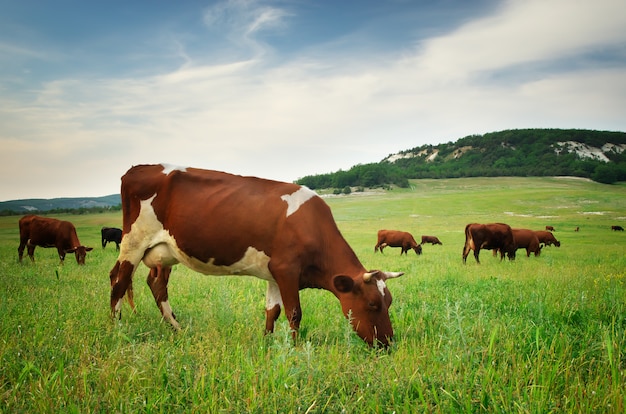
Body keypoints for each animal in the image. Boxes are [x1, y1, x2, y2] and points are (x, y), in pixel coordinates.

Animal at [109, 163, 402, 348]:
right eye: (372, 304)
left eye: (388, 302)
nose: (388, 343)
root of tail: (137, 169)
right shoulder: (287, 269)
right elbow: (294, 313)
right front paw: (294, 349)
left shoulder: (275, 274)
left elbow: (272, 311)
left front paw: (267, 342)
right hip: (133, 241)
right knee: (118, 280)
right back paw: (117, 328)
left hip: (164, 252)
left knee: (156, 284)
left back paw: (177, 328)